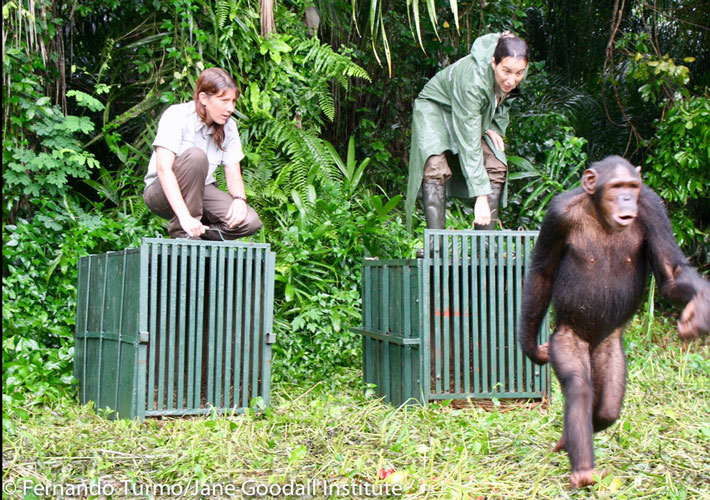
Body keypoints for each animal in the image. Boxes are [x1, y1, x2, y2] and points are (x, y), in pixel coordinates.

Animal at [516, 155, 710, 488]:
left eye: (632, 186)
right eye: (616, 187)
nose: (626, 199)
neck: (599, 212)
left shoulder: (653, 208)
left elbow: (670, 271)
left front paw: (701, 311)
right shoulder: (557, 214)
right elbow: (542, 274)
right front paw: (530, 348)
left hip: (609, 346)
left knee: (608, 407)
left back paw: (569, 442)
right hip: (568, 337)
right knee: (580, 387)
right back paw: (583, 470)